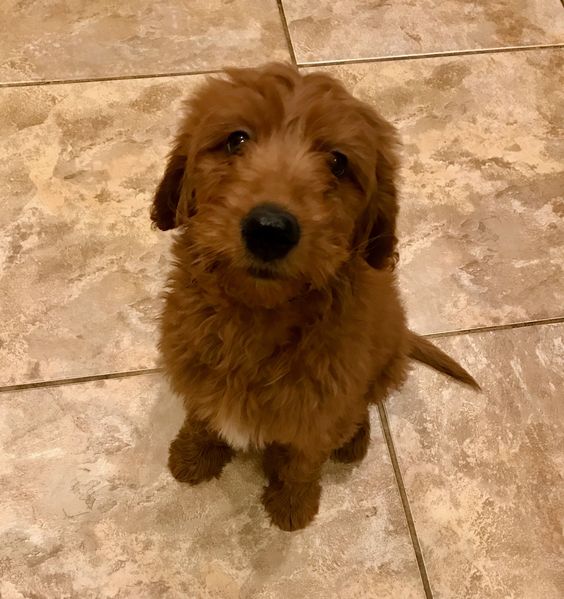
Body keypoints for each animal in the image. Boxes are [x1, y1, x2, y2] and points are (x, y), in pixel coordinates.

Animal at [150, 63, 476, 532]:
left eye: (338, 163)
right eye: (236, 139)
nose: (270, 229)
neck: (257, 316)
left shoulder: (319, 410)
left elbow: (303, 460)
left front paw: (293, 504)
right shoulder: (196, 369)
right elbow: (201, 415)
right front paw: (194, 455)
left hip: (384, 370)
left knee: (360, 409)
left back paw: (355, 439)